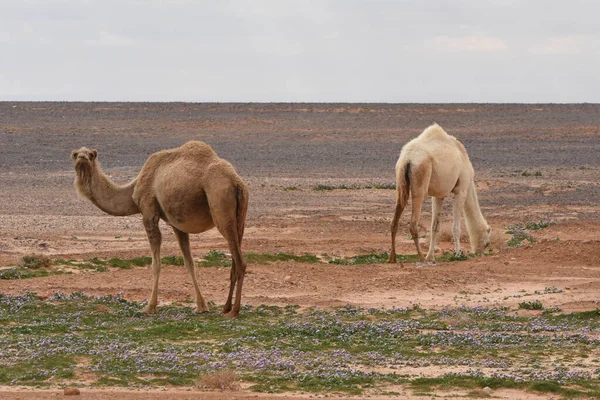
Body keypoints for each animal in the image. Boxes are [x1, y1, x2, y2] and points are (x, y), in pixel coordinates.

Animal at [72, 142, 248, 318]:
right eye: (75, 154)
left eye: (91, 154)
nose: (82, 157)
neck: (132, 190)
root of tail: (236, 182)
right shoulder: (177, 224)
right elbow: (189, 263)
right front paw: (201, 306)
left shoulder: (149, 212)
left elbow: (155, 263)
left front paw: (150, 306)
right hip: (240, 217)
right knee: (234, 258)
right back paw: (225, 307)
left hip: (220, 204)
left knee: (240, 262)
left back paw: (234, 311)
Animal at [386, 123, 490, 264]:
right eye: (487, 243)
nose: (480, 253)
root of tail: (407, 158)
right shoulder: (461, 189)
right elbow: (456, 227)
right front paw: (458, 254)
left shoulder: (438, 196)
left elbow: (435, 226)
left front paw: (431, 256)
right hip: (421, 177)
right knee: (413, 223)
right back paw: (421, 257)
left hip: (400, 182)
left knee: (395, 219)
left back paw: (392, 258)